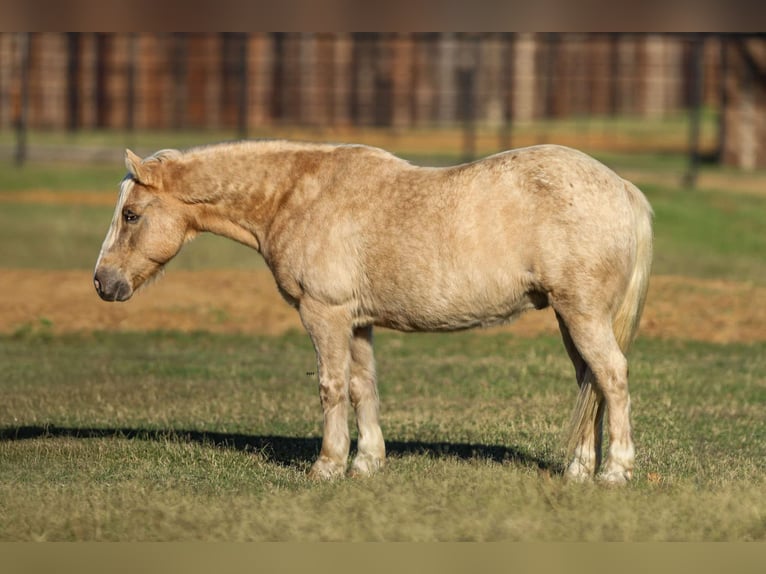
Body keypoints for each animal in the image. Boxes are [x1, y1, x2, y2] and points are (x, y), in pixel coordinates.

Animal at [94, 140, 653, 484]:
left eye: (131, 215)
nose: (103, 282)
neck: (298, 195)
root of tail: (624, 188)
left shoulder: (324, 313)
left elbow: (332, 387)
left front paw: (327, 465)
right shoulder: (357, 321)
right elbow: (363, 387)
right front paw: (366, 463)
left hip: (582, 314)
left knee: (612, 376)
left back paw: (615, 472)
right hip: (570, 318)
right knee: (590, 383)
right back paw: (579, 470)